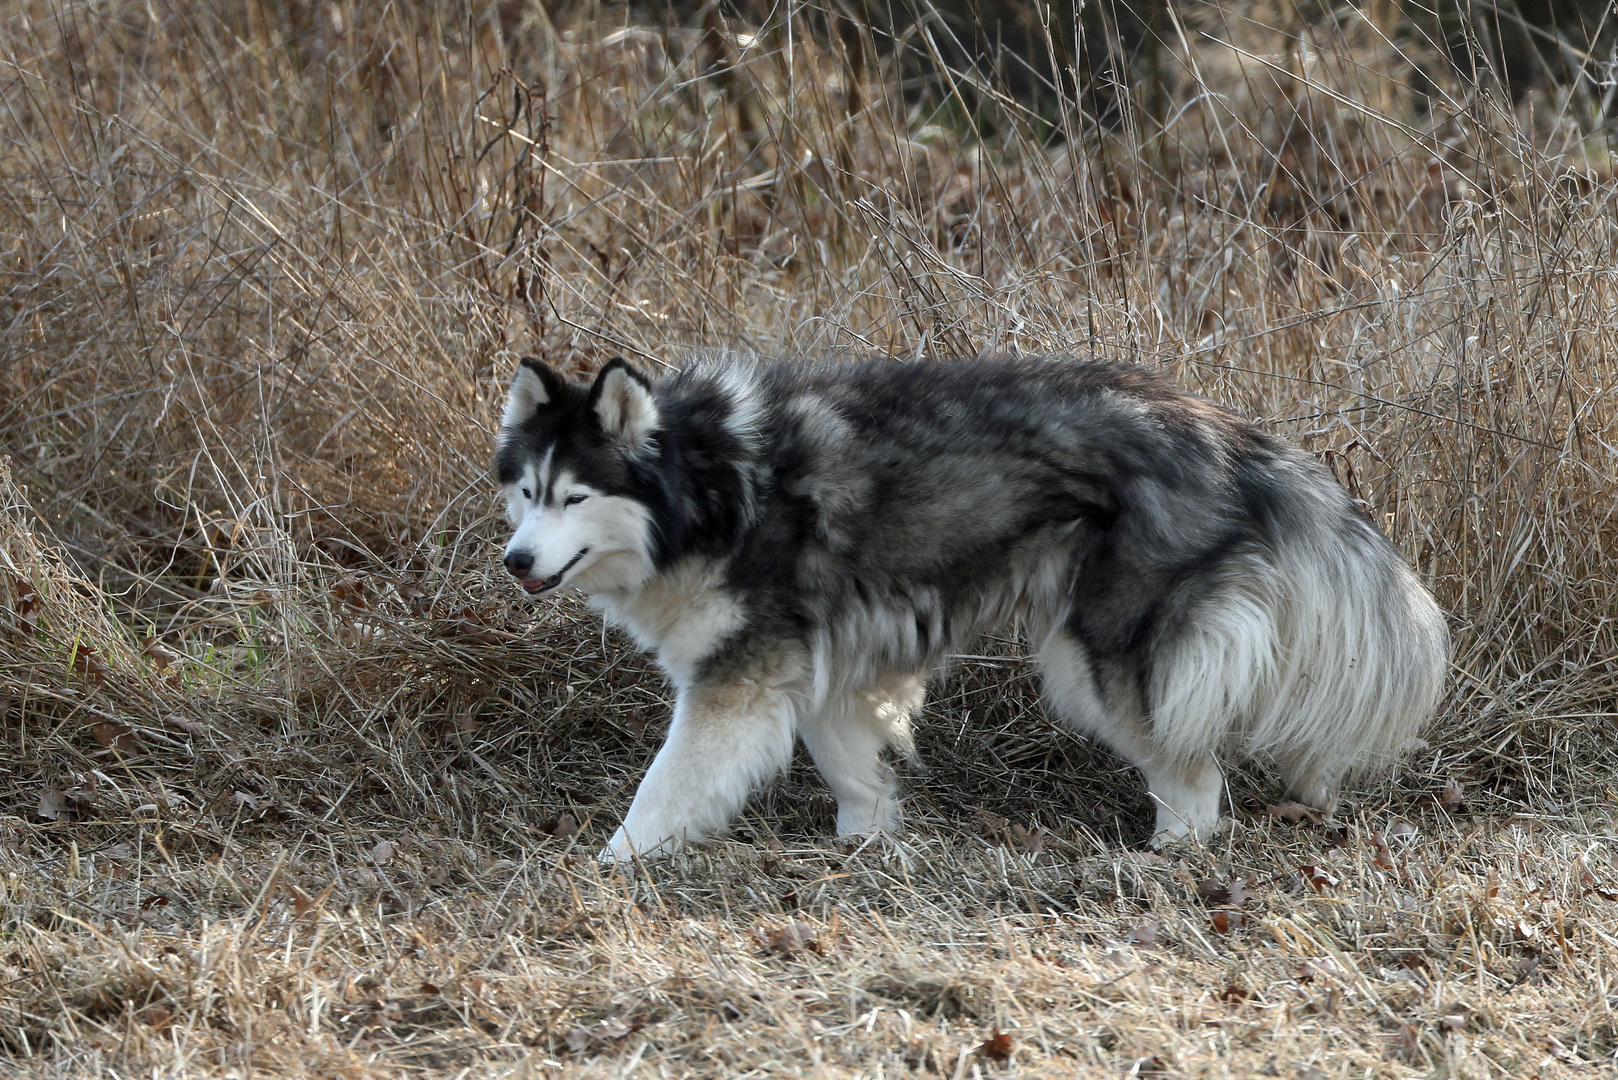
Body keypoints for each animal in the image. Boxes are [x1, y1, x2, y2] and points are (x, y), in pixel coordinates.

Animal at [495, 354, 1456, 861]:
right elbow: (853, 770)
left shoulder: (737, 683)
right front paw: (866, 847)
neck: (713, 485)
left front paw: (611, 865)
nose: (515, 561)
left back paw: (1167, 858)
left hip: (1097, 664)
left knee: (1195, 775)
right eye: (527, 493)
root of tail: (1223, 429)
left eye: (576, 497)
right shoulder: (817, 669)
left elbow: (664, 790)